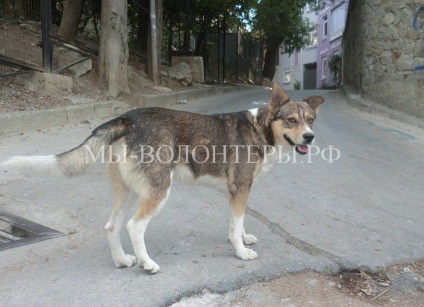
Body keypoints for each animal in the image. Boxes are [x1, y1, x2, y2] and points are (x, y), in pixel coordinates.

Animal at [1, 82, 322, 274]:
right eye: (292, 120)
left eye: (310, 119)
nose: (310, 136)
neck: (261, 128)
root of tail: (126, 119)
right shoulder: (240, 188)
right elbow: (236, 224)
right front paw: (241, 252)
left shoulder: (235, 192)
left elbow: (236, 223)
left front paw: (242, 238)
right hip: (158, 190)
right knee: (134, 226)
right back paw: (147, 263)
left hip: (129, 191)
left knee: (111, 226)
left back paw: (122, 260)